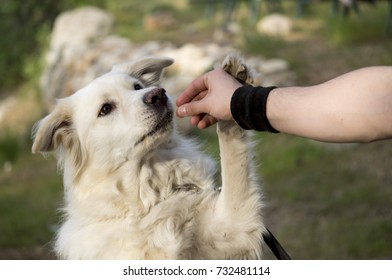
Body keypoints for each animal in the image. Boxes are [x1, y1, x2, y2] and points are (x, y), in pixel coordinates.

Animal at [32, 54, 264, 258]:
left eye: (137, 87)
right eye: (105, 109)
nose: (158, 94)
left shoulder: (234, 228)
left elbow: (233, 162)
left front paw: (230, 86)